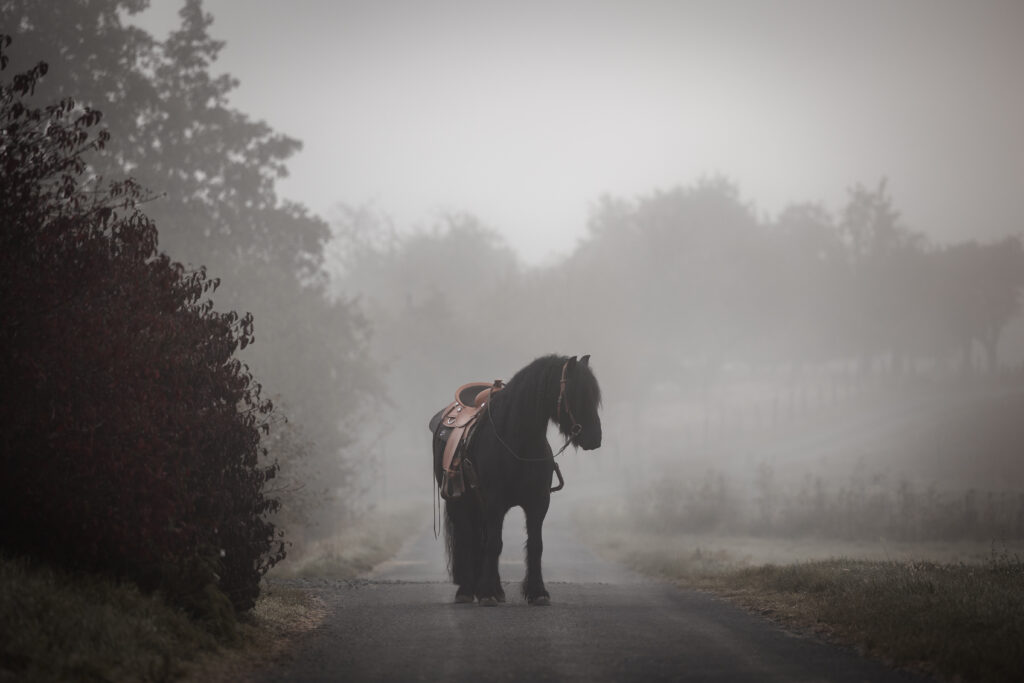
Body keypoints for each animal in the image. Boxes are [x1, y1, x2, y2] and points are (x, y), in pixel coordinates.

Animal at [430, 356, 598, 606]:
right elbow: (494, 544)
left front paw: (537, 591)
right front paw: (487, 592)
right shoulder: (494, 502)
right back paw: (468, 590)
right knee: (468, 538)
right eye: (576, 393)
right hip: (461, 502)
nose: (595, 438)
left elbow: (535, 545)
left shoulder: (538, 503)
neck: (518, 443)